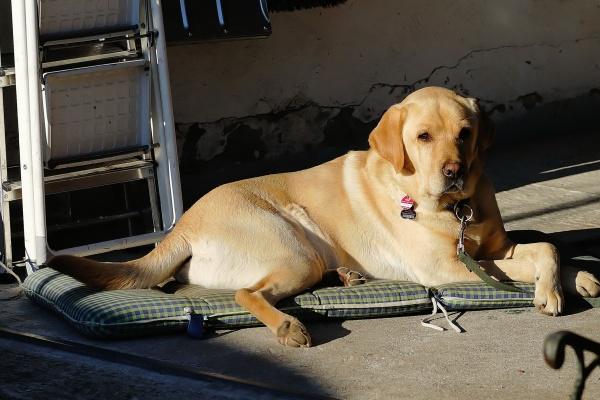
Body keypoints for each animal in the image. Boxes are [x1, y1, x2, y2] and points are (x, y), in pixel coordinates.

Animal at [49, 86, 596, 346]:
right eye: (422, 137)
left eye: (465, 134)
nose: (455, 172)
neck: (455, 207)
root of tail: (181, 225)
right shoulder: (447, 267)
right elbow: (531, 258)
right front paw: (550, 291)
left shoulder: (496, 246)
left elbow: (548, 244)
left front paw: (574, 279)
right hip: (295, 245)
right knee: (247, 293)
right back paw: (289, 328)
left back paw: (349, 276)